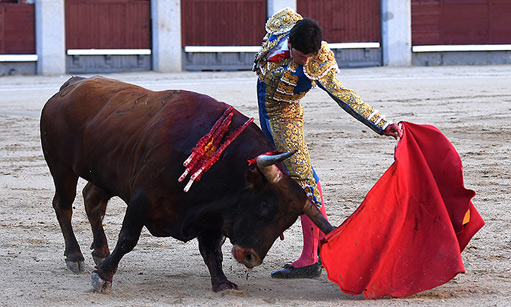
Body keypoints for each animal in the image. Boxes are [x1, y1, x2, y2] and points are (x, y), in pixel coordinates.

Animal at [41, 76, 336, 294]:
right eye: (263, 206)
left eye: (286, 225)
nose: (250, 257)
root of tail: (69, 86)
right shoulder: (142, 198)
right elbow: (127, 239)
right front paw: (103, 277)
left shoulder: (212, 217)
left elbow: (212, 251)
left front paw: (222, 284)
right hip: (61, 168)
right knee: (64, 206)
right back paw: (75, 257)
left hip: (105, 175)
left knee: (93, 201)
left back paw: (100, 251)